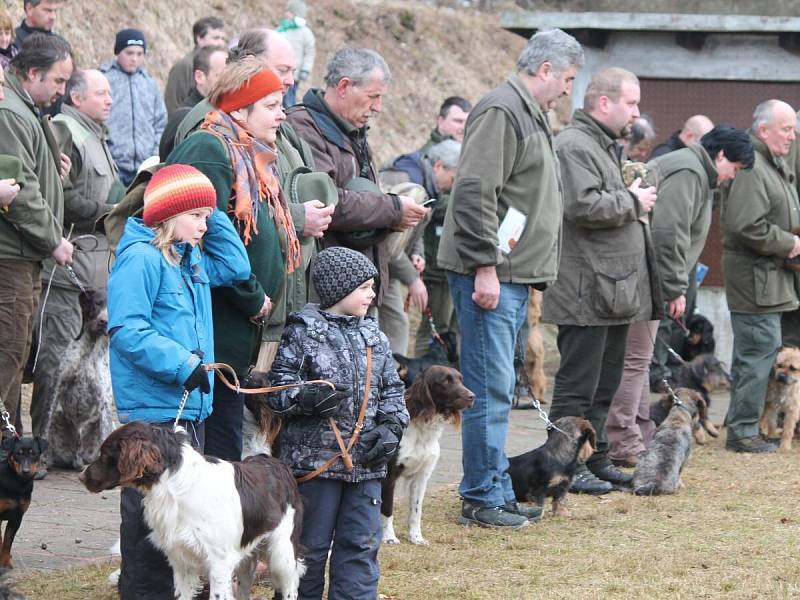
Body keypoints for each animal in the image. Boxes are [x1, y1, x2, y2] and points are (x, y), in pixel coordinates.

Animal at [0, 436, 48, 568]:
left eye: (34, 454)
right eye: (18, 454)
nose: (26, 471)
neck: (18, 482)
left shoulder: (17, 517)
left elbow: (7, 542)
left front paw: (6, 563)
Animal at [47, 290, 115, 468]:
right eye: (97, 303)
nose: (104, 322)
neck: (90, 347)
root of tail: (77, 458)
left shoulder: (104, 403)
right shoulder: (56, 390)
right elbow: (44, 430)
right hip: (58, 419)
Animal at [80, 422, 306, 600]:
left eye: (105, 454)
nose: (81, 477)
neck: (173, 484)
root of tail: (276, 463)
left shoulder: (220, 562)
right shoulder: (182, 561)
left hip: (282, 553)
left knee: (290, 586)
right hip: (247, 558)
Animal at [380, 364, 472, 548]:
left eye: (461, 380)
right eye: (445, 381)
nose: (472, 396)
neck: (421, 430)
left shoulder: (421, 476)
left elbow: (416, 511)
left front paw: (416, 537)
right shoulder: (389, 476)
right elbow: (387, 509)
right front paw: (389, 537)